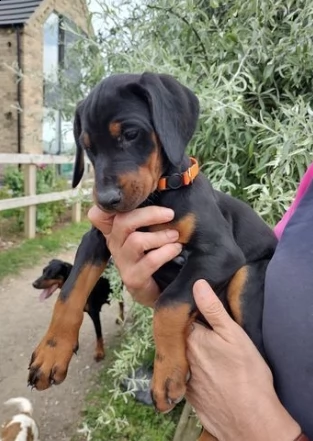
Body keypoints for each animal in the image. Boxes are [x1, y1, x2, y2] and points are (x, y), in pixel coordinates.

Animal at [26, 72, 276, 440]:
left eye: (130, 134)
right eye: (88, 146)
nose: (106, 201)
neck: (157, 195)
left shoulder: (220, 252)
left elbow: (168, 303)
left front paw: (167, 375)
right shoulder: (97, 238)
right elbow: (70, 292)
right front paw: (51, 352)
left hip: (246, 278)